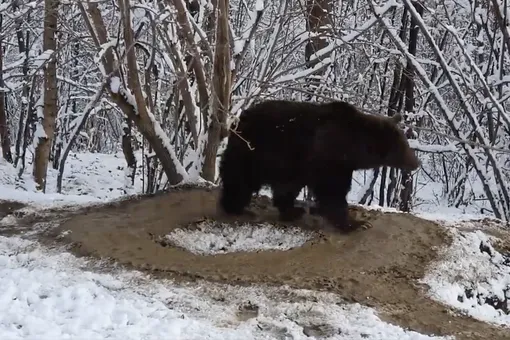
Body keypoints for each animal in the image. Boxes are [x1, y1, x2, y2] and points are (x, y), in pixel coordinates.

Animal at [217, 98, 420, 231]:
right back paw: (234, 206)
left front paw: (293, 210)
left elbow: (289, 189)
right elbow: (332, 192)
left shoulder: (301, 166)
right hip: (253, 151)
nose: (416, 162)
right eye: (403, 146)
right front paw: (356, 223)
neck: (354, 148)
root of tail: (238, 119)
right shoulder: (329, 161)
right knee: (239, 178)